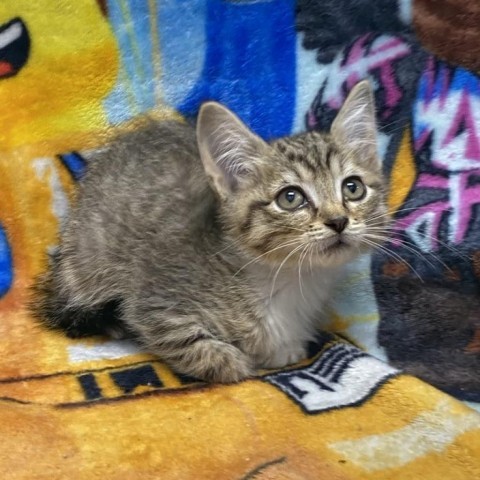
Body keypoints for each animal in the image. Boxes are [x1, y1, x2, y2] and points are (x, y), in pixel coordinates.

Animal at [31, 81, 388, 382]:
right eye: (290, 197)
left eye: (353, 188)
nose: (338, 220)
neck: (289, 279)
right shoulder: (155, 300)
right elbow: (193, 345)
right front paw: (236, 363)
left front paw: (282, 350)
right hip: (87, 261)